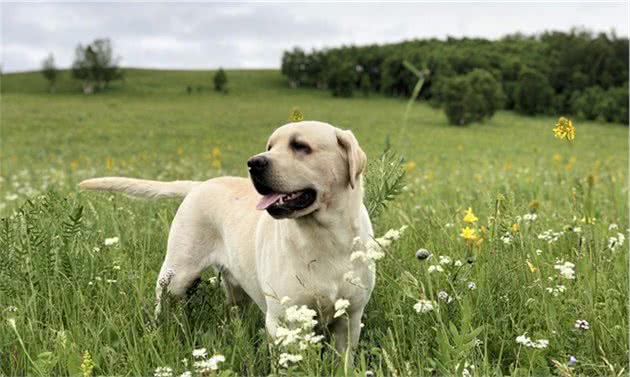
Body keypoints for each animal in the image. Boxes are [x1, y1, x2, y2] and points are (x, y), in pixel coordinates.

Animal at [79, 120, 376, 358]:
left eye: (300, 146)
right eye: (270, 146)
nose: (254, 162)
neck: (326, 236)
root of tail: (199, 185)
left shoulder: (351, 318)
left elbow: (344, 360)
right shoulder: (282, 320)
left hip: (235, 289)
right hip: (176, 275)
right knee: (162, 304)